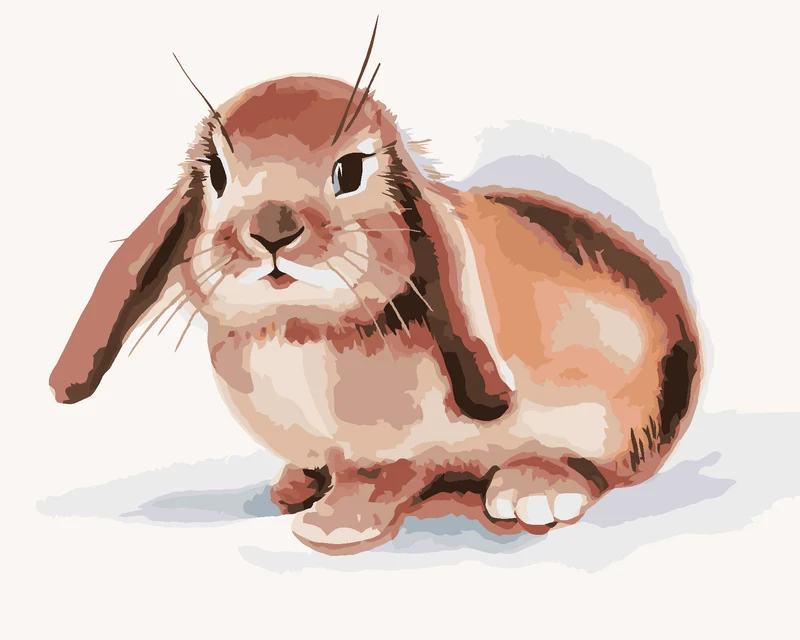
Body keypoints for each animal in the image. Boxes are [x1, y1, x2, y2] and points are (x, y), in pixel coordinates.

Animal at [48, 21, 701, 555]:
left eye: (351, 171)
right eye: (215, 174)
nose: (272, 231)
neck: (297, 326)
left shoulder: (395, 454)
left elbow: (376, 480)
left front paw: (332, 526)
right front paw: (293, 490)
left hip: (607, 426)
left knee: (601, 472)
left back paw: (529, 491)